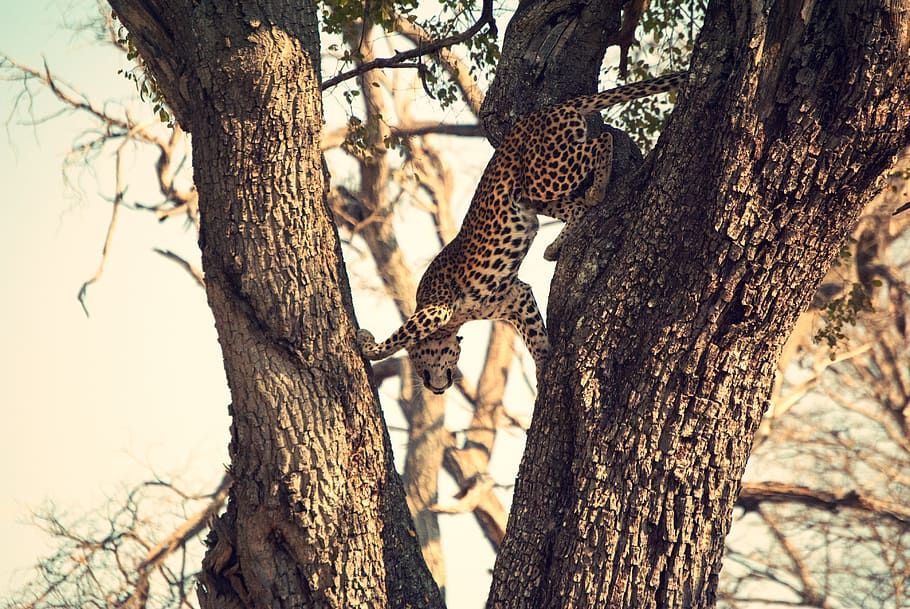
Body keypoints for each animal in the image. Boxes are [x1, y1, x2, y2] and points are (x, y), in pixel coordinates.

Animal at [357, 72, 686, 394]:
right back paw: (554, 247)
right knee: (577, 208)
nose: (429, 385)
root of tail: (544, 111)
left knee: (602, 140)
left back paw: (597, 189)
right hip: (533, 196)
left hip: (546, 174)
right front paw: (544, 365)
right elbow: (533, 335)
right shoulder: (516, 297)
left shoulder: (435, 307)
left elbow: (401, 335)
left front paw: (368, 345)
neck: (454, 324)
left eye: (417, 363)